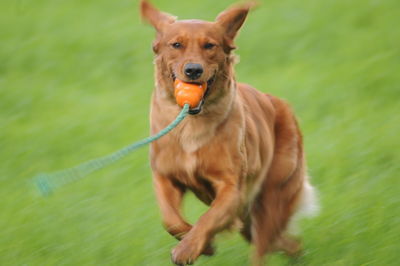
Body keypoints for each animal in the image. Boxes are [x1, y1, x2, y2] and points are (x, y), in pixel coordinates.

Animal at [139, 1, 318, 264]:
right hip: (251, 218)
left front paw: (188, 248)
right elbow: (170, 219)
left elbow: (207, 219)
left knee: (262, 246)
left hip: (271, 196)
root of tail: (279, 103)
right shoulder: (165, 176)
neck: (191, 122)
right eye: (176, 45)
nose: (193, 70)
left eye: (209, 45)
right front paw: (202, 245)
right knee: (284, 242)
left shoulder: (232, 188)